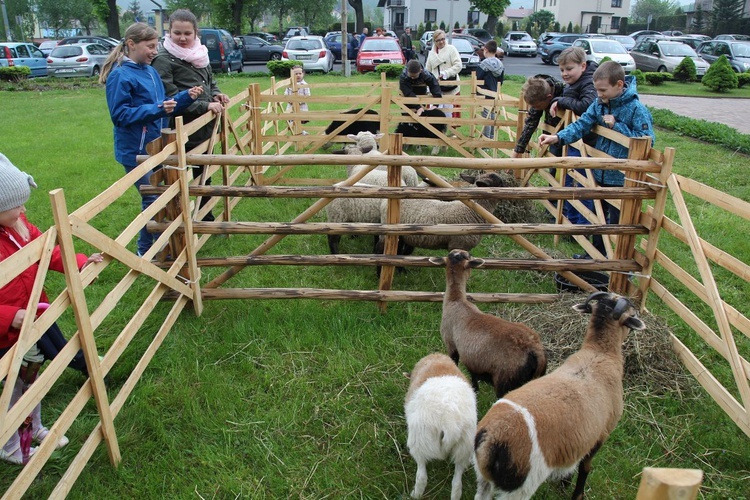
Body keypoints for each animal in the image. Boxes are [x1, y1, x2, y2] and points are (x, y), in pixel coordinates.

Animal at [428, 250, 548, 398]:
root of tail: (535, 350)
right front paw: (475, 391)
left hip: (505, 381)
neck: (455, 300)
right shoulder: (472, 359)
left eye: (468, 255)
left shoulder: (451, 344)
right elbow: (473, 375)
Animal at [476, 292, 648, 500]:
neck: (600, 353)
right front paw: (576, 493)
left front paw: (564, 483)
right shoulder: (601, 434)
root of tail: (492, 438)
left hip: (484, 477)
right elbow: (585, 467)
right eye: (631, 313)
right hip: (521, 485)